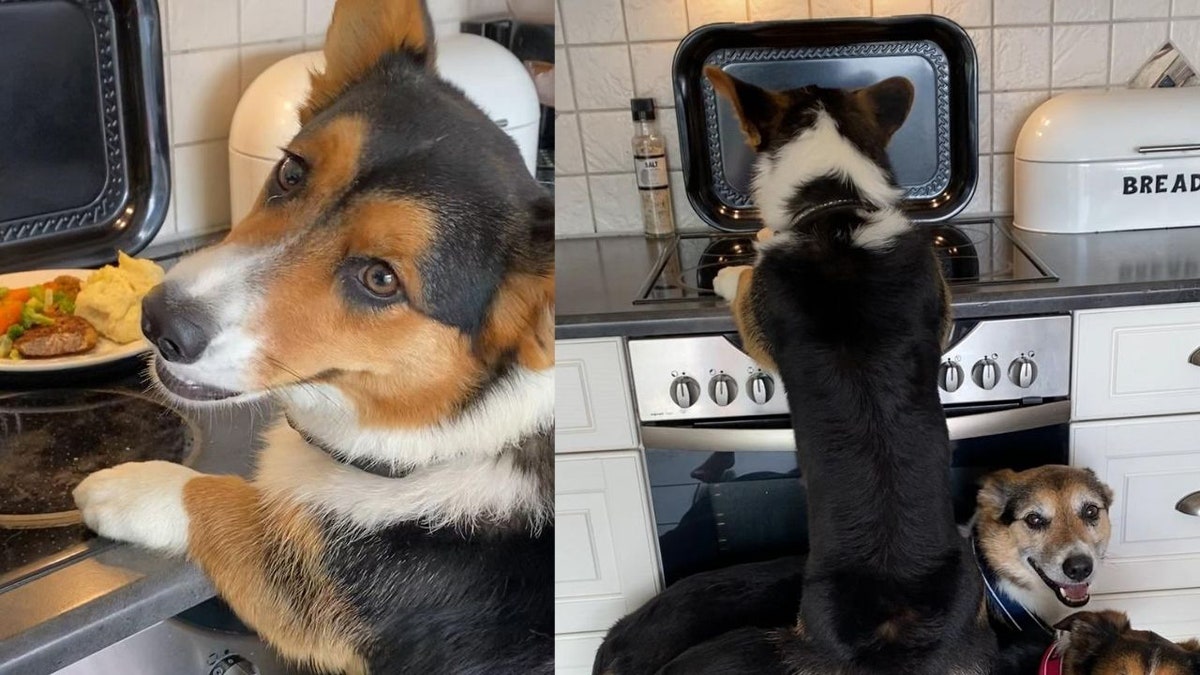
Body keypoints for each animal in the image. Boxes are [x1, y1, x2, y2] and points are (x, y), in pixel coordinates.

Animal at [73, 1, 556, 672]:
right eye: (290, 171)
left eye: (381, 279)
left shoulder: (316, 581)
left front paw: (132, 487)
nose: (159, 321)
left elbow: (231, 507)